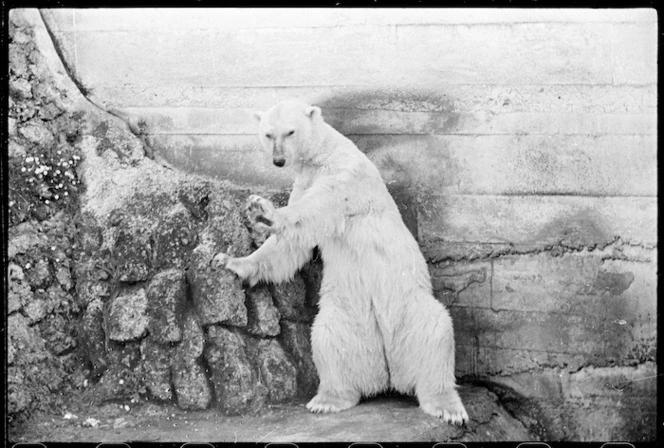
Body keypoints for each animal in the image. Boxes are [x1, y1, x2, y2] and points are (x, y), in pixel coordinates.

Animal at [213, 100, 466, 426]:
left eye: (290, 131)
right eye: (268, 134)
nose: (278, 161)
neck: (323, 154)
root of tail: (389, 370)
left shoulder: (344, 174)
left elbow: (317, 208)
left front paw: (265, 212)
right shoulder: (305, 180)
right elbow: (294, 245)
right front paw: (230, 261)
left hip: (411, 304)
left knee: (436, 332)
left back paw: (448, 407)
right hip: (346, 313)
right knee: (328, 338)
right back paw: (328, 400)